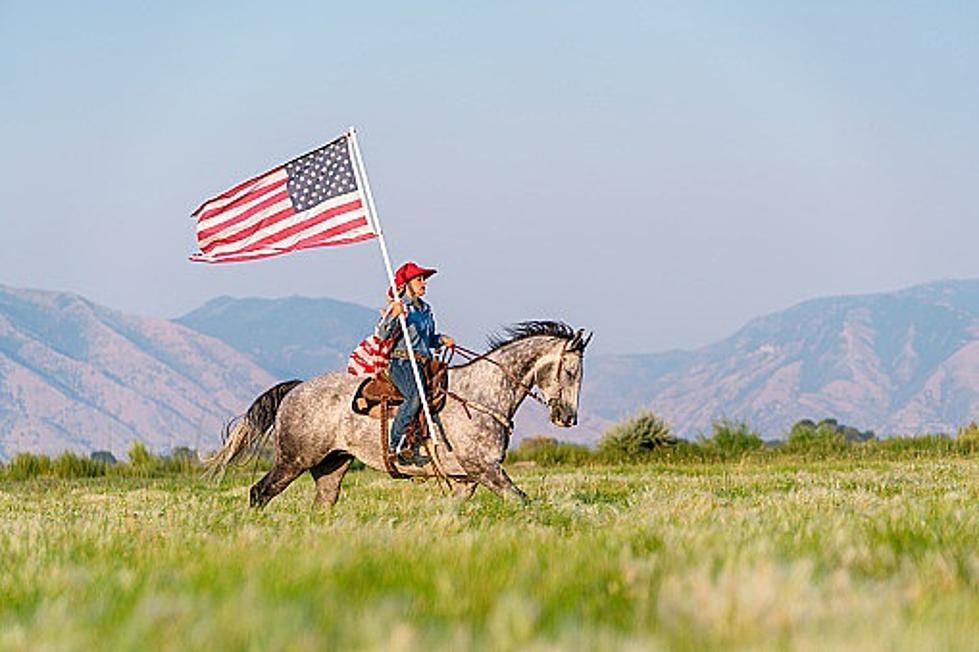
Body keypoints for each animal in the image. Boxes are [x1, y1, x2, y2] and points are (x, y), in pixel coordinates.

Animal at [204, 320, 592, 510]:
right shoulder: (485, 469)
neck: (482, 392)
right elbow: (522, 501)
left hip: (332, 465)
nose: (567, 418)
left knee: (321, 505)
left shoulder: (467, 479)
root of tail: (296, 389)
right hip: (293, 459)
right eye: (571, 371)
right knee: (259, 493)